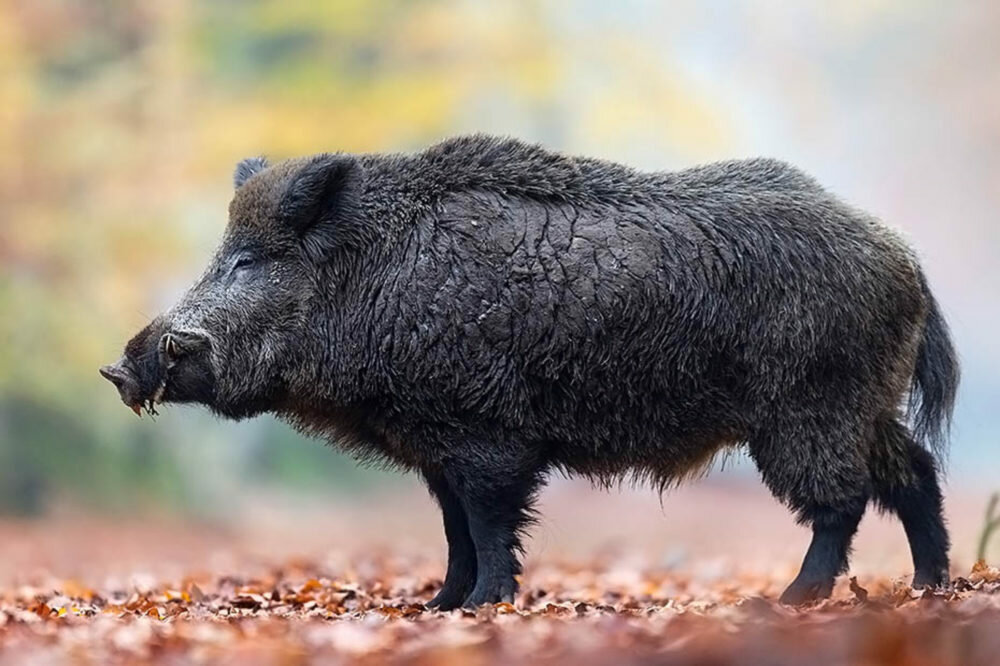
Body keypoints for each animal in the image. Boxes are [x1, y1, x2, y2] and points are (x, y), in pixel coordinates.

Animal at [101, 135, 958, 609]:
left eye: (246, 260)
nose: (119, 365)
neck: (373, 278)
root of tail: (906, 256)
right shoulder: (436, 444)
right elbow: (454, 529)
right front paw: (440, 608)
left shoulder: (486, 436)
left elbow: (486, 524)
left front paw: (485, 606)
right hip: (863, 403)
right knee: (913, 472)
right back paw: (928, 587)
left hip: (811, 407)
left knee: (842, 500)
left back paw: (791, 600)